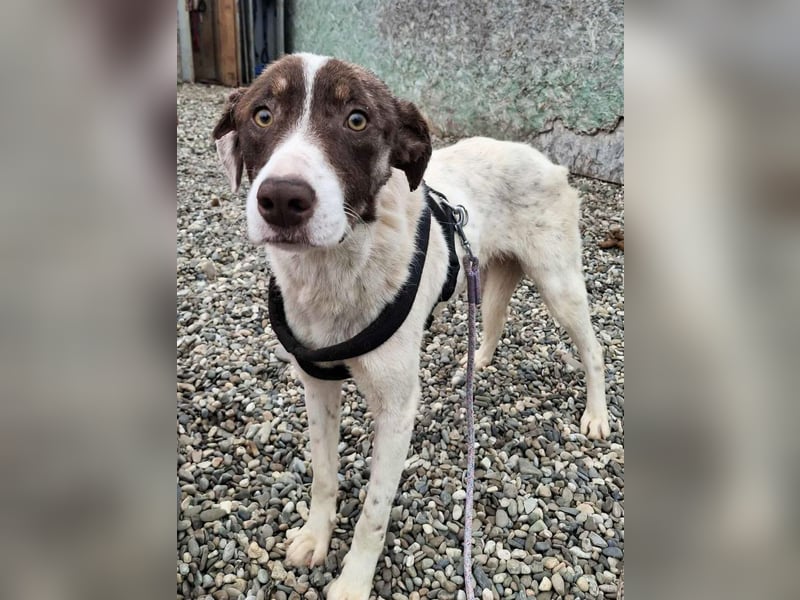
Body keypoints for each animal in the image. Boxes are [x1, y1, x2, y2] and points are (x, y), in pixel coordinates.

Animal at [213, 53, 610, 599]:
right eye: (263, 115)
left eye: (357, 119)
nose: (282, 199)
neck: (334, 269)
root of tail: (546, 160)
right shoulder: (316, 384)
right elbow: (323, 474)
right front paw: (315, 537)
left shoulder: (398, 408)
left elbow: (374, 514)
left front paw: (353, 583)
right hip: (487, 271)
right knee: (494, 317)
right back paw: (475, 364)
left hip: (559, 283)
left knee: (594, 349)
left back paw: (597, 415)